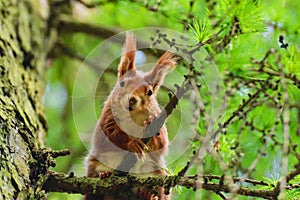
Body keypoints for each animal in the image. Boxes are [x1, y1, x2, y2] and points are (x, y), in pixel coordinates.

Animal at [84, 32, 176, 200]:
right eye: (122, 83)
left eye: (150, 92)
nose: (132, 99)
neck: (133, 115)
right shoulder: (107, 117)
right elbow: (109, 135)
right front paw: (132, 144)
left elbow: (161, 144)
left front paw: (151, 123)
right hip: (94, 165)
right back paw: (104, 175)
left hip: (157, 173)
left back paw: (147, 194)